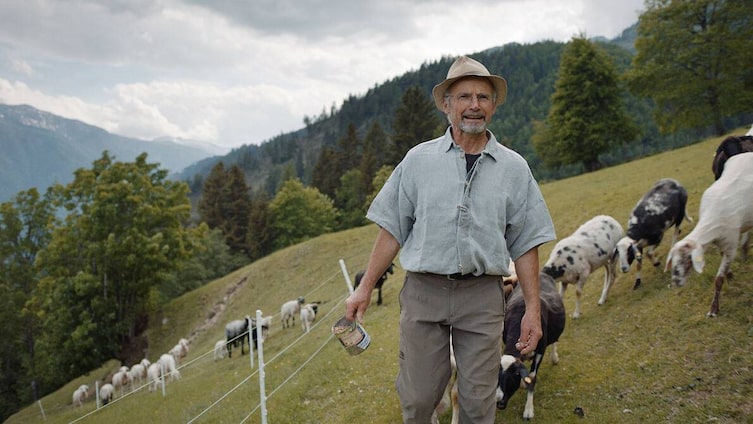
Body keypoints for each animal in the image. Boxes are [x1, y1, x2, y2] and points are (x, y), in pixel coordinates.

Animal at [496, 272, 566, 420]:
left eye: (511, 377)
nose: (498, 402)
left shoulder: (540, 351)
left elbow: (532, 377)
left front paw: (528, 410)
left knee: (555, 341)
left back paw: (554, 357)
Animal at [665, 153, 753, 317]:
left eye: (687, 259)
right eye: (673, 259)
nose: (675, 282)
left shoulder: (731, 246)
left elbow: (718, 279)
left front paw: (713, 310)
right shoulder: (721, 245)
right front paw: (730, 276)